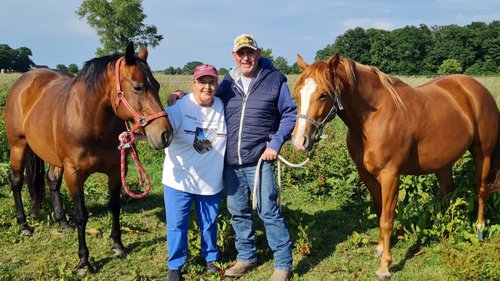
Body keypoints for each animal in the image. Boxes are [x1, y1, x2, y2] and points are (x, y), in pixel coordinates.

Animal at [3, 42, 174, 274]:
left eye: (156, 85)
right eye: (138, 87)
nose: (165, 134)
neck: (91, 122)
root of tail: (25, 80)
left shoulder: (115, 170)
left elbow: (115, 206)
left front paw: (118, 245)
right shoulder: (74, 174)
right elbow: (81, 215)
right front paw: (84, 260)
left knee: (52, 181)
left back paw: (63, 222)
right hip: (18, 145)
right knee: (17, 181)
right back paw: (23, 225)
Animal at [292, 53, 498, 278]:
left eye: (323, 95)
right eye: (296, 93)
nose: (300, 141)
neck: (373, 117)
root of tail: (476, 89)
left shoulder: (390, 175)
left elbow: (387, 219)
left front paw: (385, 266)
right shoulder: (366, 175)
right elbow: (379, 210)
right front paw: (380, 249)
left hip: (483, 155)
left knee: (481, 190)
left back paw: (479, 230)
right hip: (444, 163)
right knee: (447, 195)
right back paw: (443, 232)